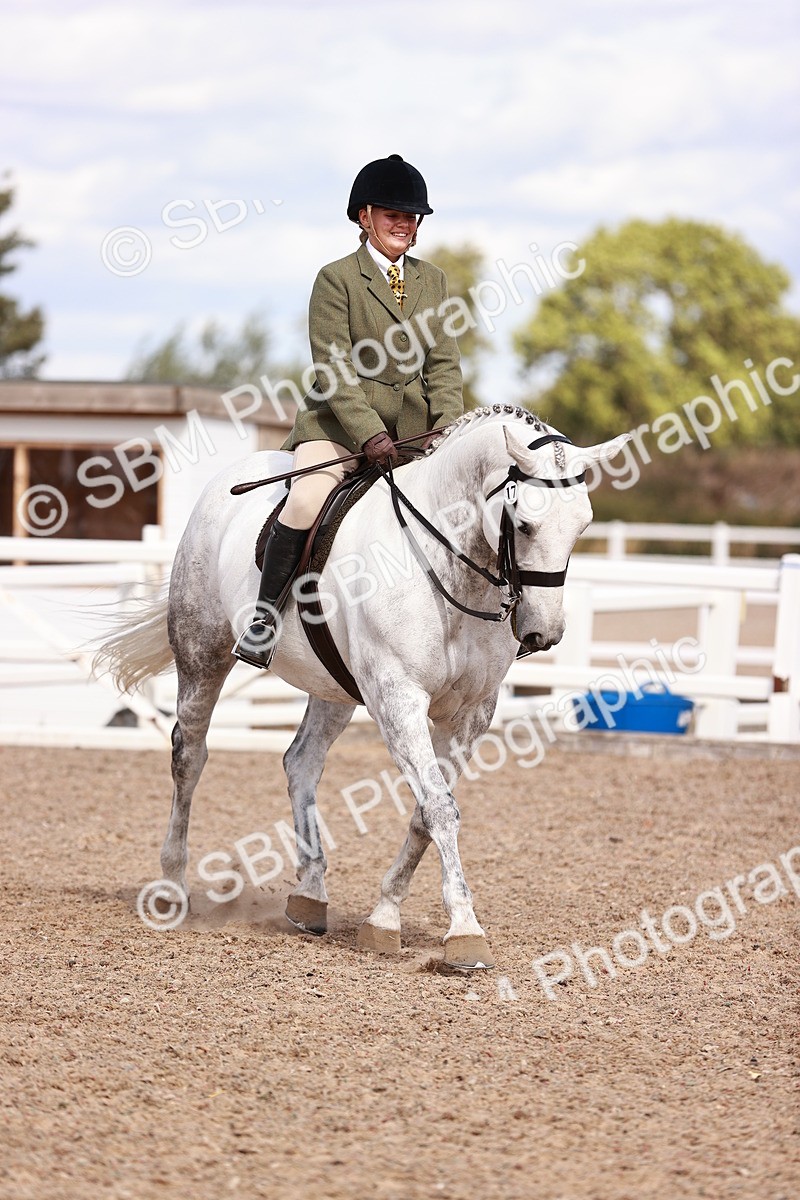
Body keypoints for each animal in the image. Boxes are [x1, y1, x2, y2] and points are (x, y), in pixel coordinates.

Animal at [97, 405, 629, 969]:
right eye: (524, 524)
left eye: (582, 526)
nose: (543, 634)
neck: (449, 566)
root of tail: (227, 481)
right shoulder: (399, 698)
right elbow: (439, 807)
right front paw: (465, 931)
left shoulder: (471, 713)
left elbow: (425, 810)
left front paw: (385, 916)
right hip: (203, 651)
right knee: (190, 755)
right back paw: (173, 886)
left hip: (333, 686)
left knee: (301, 763)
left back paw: (309, 897)